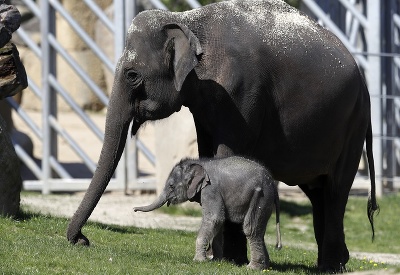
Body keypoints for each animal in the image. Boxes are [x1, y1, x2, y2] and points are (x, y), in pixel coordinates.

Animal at [134, 156, 282, 270]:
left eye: (171, 186)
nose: (134, 209)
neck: (200, 163)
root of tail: (273, 185)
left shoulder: (211, 189)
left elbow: (215, 218)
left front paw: (198, 261)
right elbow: (219, 223)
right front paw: (216, 261)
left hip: (261, 196)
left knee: (250, 228)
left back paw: (252, 268)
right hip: (265, 200)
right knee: (259, 231)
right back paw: (264, 267)